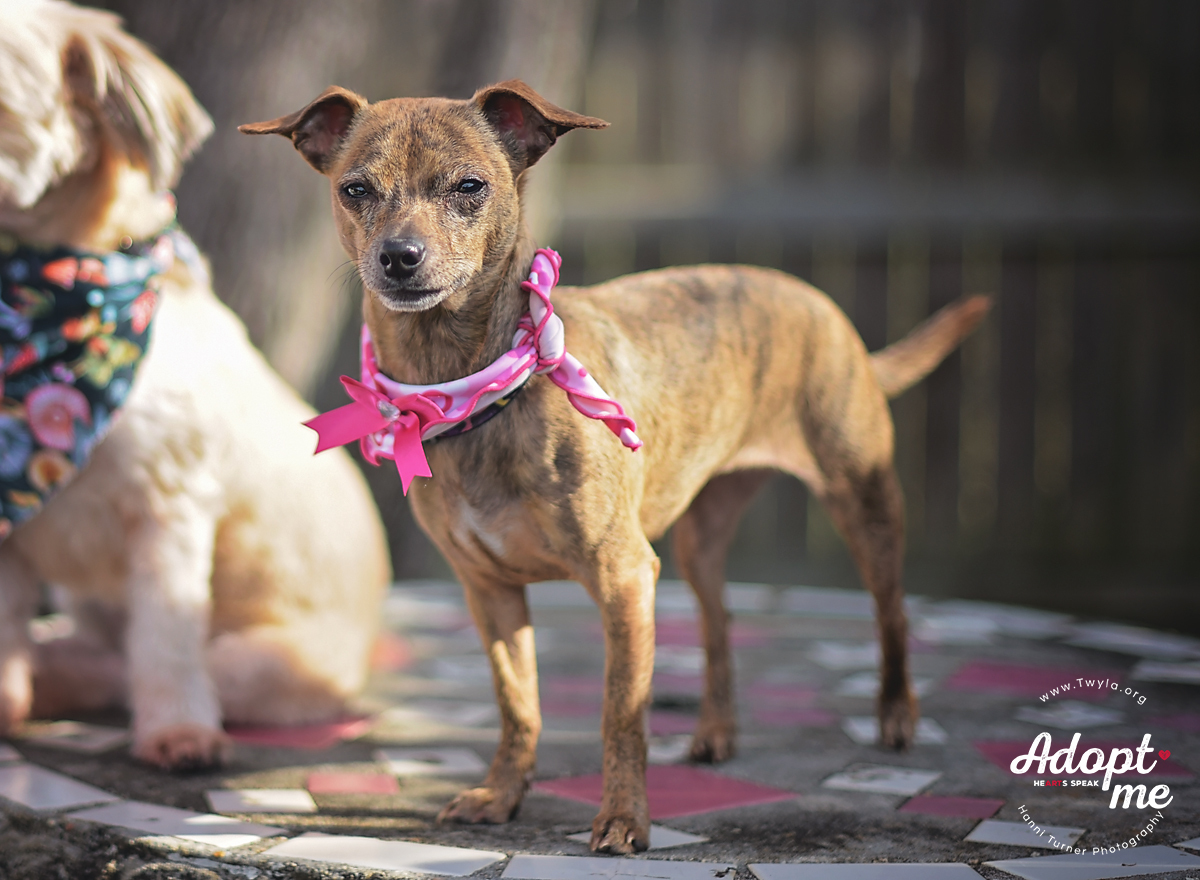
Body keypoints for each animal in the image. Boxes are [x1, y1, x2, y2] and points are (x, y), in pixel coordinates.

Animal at [241, 80, 984, 849]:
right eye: (355, 189)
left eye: (469, 187)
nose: (398, 256)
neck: (477, 390)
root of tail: (821, 306)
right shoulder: (490, 593)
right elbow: (519, 704)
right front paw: (501, 795)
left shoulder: (625, 579)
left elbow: (621, 716)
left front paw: (624, 818)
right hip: (698, 540)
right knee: (719, 621)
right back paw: (717, 731)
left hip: (863, 502)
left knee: (891, 610)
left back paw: (896, 715)